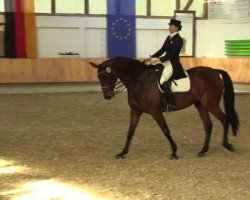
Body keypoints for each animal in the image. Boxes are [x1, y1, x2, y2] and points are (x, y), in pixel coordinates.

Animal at [89, 56, 238, 159]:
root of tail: (215, 72)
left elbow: (165, 130)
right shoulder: (135, 110)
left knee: (225, 120)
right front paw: (122, 152)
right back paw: (203, 150)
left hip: (211, 104)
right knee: (208, 125)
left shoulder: (155, 111)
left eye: (105, 76)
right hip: (200, 105)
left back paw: (227, 145)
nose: (107, 96)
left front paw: (174, 152)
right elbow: (130, 132)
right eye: (99, 77)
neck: (138, 80)